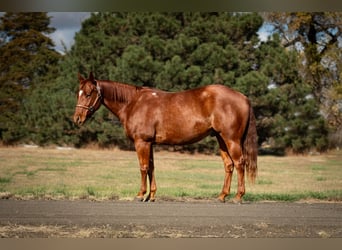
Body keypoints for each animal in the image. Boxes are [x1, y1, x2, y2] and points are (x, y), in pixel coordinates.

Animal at [74, 72, 256, 203]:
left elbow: (143, 167)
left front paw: (140, 195)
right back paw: (222, 196)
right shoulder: (150, 144)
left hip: (231, 140)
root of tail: (243, 97)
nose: (77, 118)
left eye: (89, 93)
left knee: (239, 163)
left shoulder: (142, 142)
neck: (134, 103)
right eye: (79, 93)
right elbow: (151, 167)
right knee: (229, 165)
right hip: (221, 139)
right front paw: (151, 196)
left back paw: (238, 197)